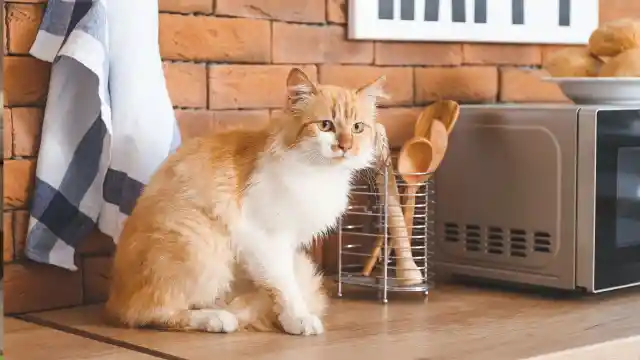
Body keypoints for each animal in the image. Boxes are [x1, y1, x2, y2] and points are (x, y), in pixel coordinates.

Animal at [105, 67, 388, 334]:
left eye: (357, 127)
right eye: (326, 125)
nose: (346, 146)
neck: (318, 174)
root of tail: (115, 296)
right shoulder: (266, 238)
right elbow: (285, 286)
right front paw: (298, 319)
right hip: (204, 244)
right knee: (148, 312)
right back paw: (216, 318)